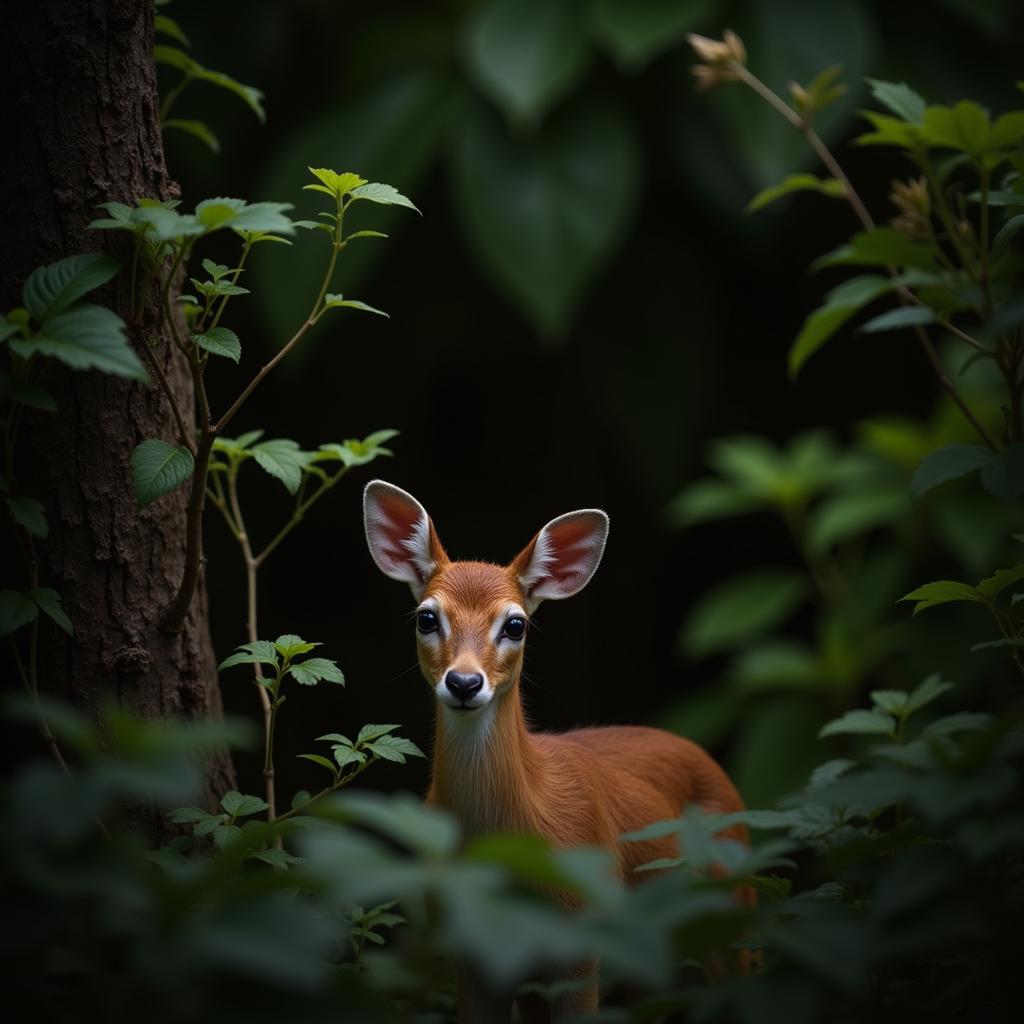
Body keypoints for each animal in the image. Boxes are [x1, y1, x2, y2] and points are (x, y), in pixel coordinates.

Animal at [364, 481, 749, 1024]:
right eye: (426, 617)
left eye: (516, 625)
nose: (464, 682)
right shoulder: (473, 946)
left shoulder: (582, 933)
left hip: (736, 894)